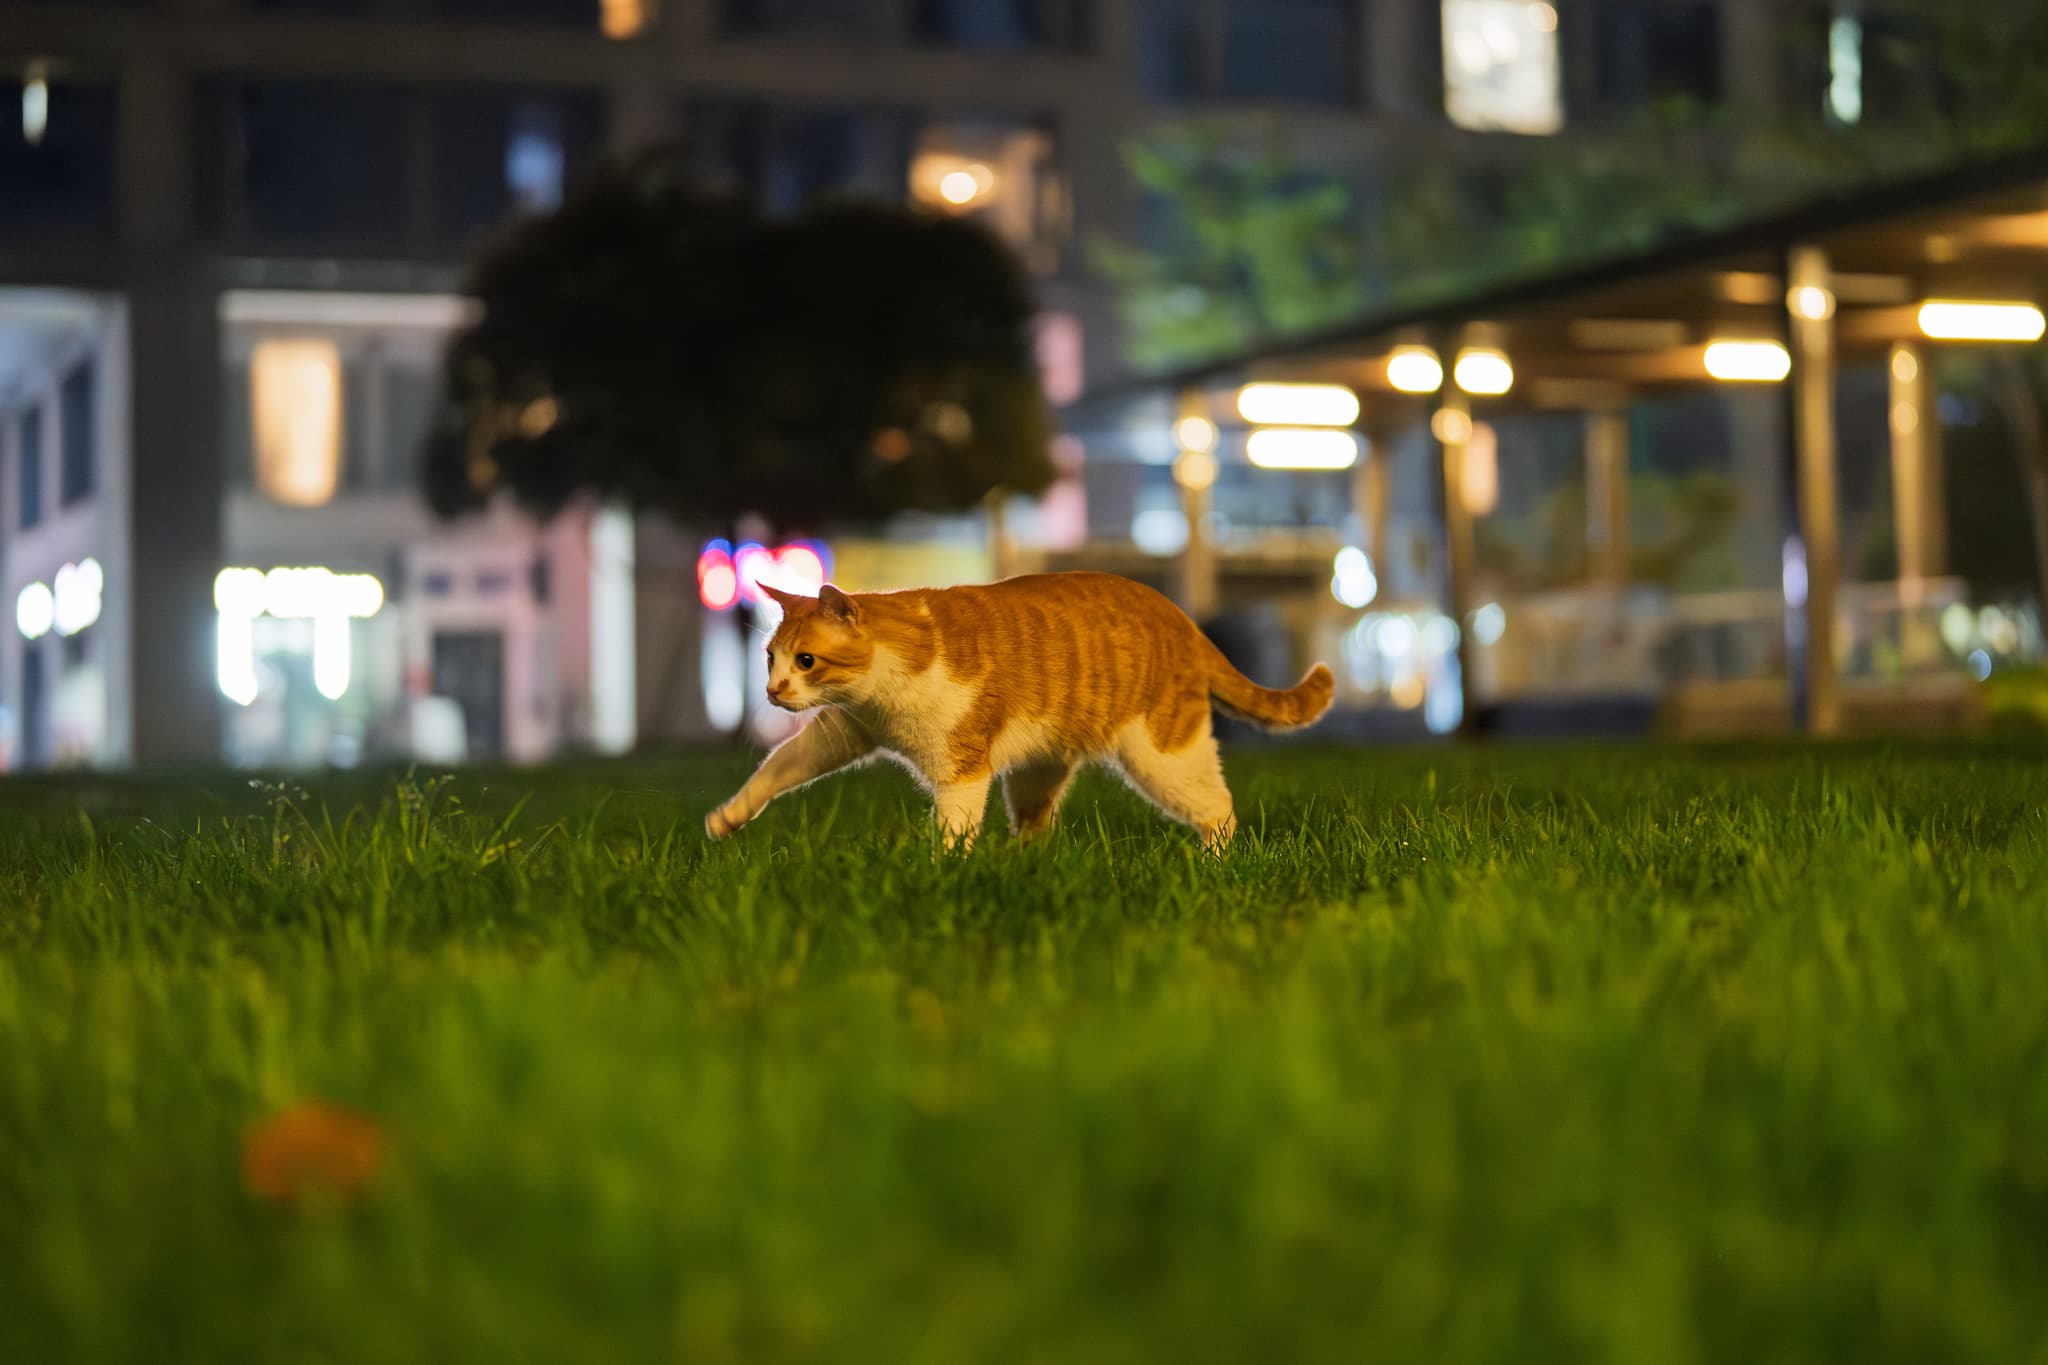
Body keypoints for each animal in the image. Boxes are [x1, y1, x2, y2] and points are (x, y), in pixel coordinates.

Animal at [712, 573, 1335, 847]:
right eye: (769, 658)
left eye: (807, 660)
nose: (772, 692)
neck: (880, 699)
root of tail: (1182, 617)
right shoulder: (842, 733)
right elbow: (777, 768)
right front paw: (728, 817)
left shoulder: (963, 769)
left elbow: (953, 829)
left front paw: (941, 874)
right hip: (1036, 772)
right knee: (1037, 827)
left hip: (1164, 758)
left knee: (1219, 808)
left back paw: (1214, 861)